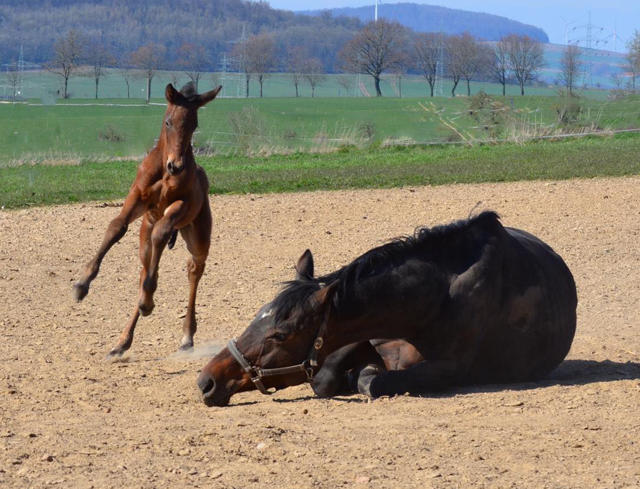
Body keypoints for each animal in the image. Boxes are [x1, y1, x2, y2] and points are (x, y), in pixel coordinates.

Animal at [72, 83, 221, 354]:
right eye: (168, 122)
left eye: (194, 124)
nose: (176, 166)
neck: (163, 171)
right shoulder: (137, 198)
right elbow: (116, 227)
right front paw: (82, 284)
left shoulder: (180, 205)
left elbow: (162, 232)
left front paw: (150, 301)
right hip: (144, 236)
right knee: (146, 268)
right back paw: (123, 340)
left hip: (198, 236)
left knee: (194, 267)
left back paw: (185, 335)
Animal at [198, 212, 576, 406]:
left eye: (280, 334)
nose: (206, 381)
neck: (432, 298)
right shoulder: (357, 334)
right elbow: (326, 375)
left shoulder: (447, 368)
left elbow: (374, 382)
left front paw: (362, 375)